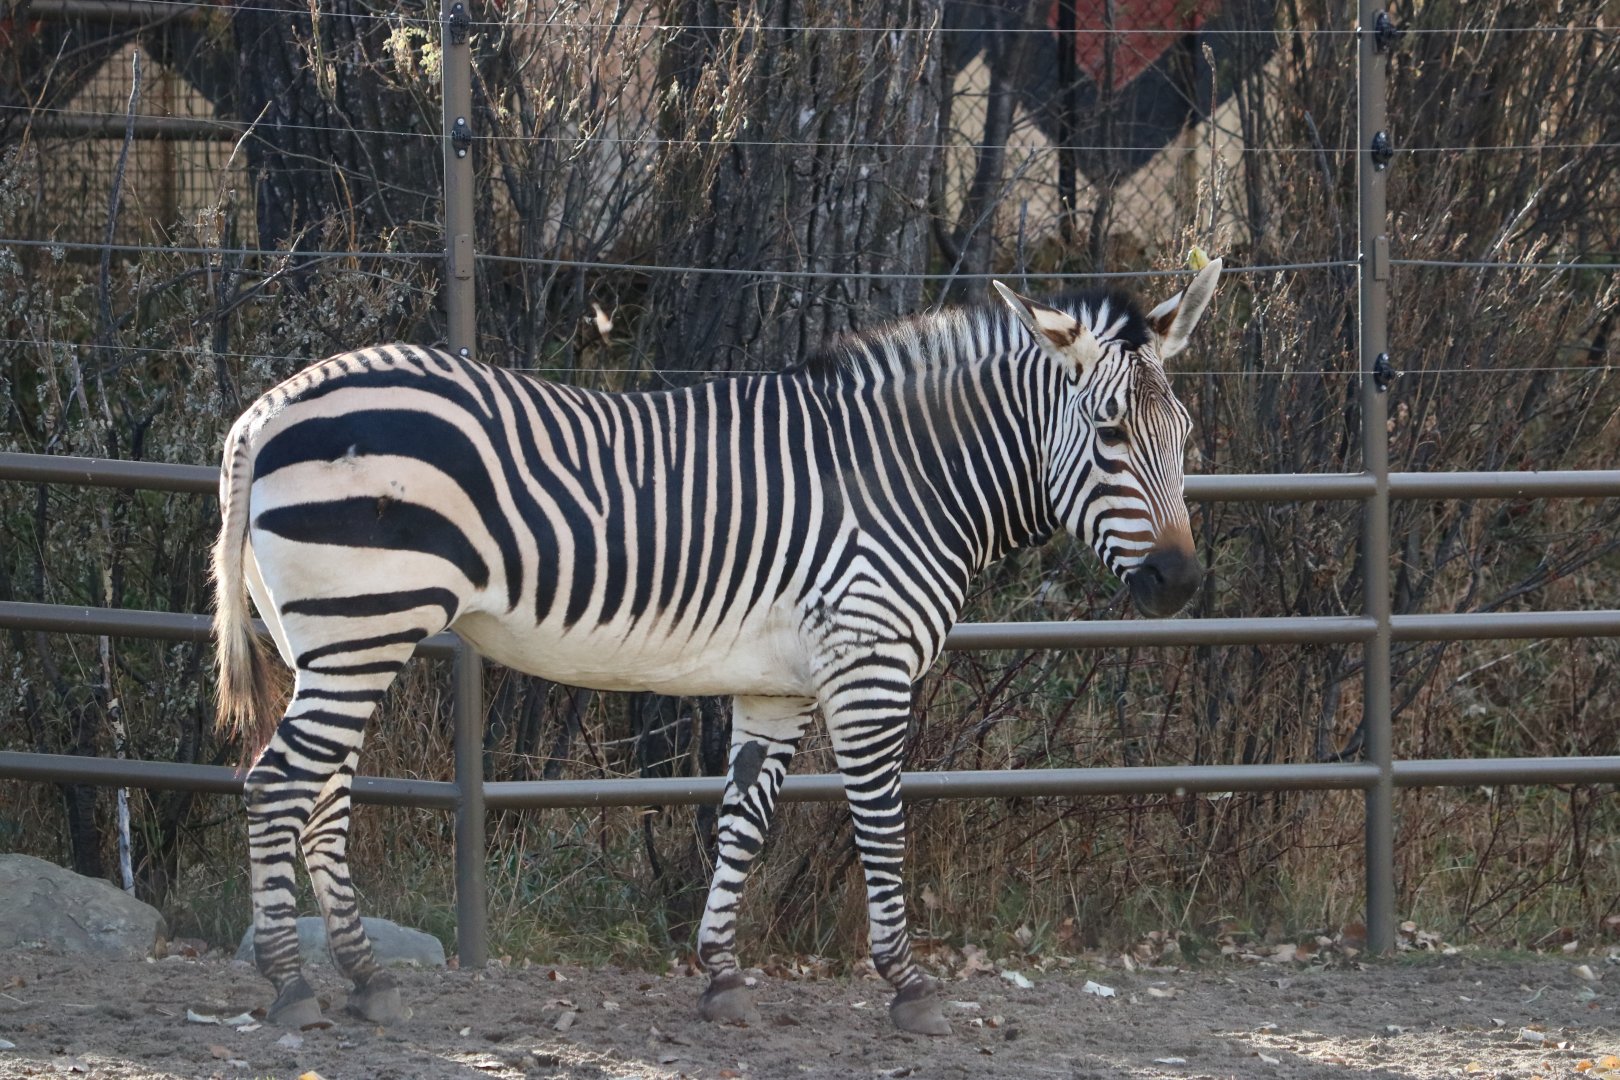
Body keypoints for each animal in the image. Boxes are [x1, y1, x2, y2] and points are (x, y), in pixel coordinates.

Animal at [212, 260, 1221, 1035]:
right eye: (1109, 434)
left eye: (1184, 436)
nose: (1179, 583)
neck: (905, 478)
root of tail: (267, 409)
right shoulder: (868, 665)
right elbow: (883, 824)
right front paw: (909, 986)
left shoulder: (780, 686)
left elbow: (742, 821)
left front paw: (722, 976)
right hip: (364, 625)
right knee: (278, 785)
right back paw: (292, 985)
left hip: (331, 640)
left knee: (322, 797)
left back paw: (365, 978)